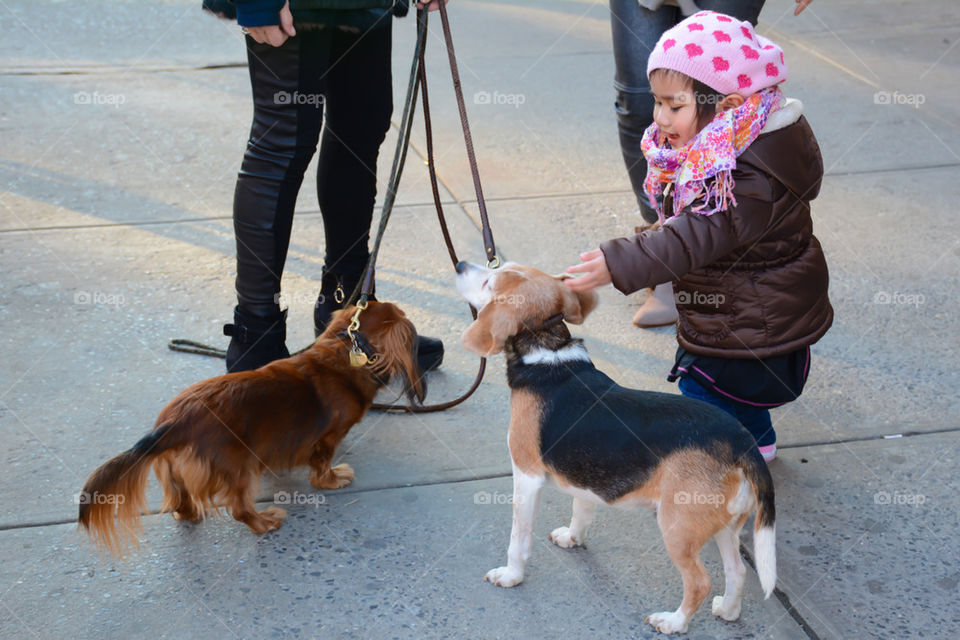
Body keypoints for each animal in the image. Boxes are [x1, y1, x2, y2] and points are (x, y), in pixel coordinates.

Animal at [454, 262, 776, 636]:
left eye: (490, 281)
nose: (460, 264)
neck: (547, 351)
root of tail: (742, 442)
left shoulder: (527, 476)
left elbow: (518, 540)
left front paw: (511, 576)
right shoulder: (584, 475)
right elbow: (582, 509)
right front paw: (573, 538)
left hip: (678, 527)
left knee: (699, 582)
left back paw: (673, 622)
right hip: (723, 525)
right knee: (736, 571)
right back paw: (727, 610)